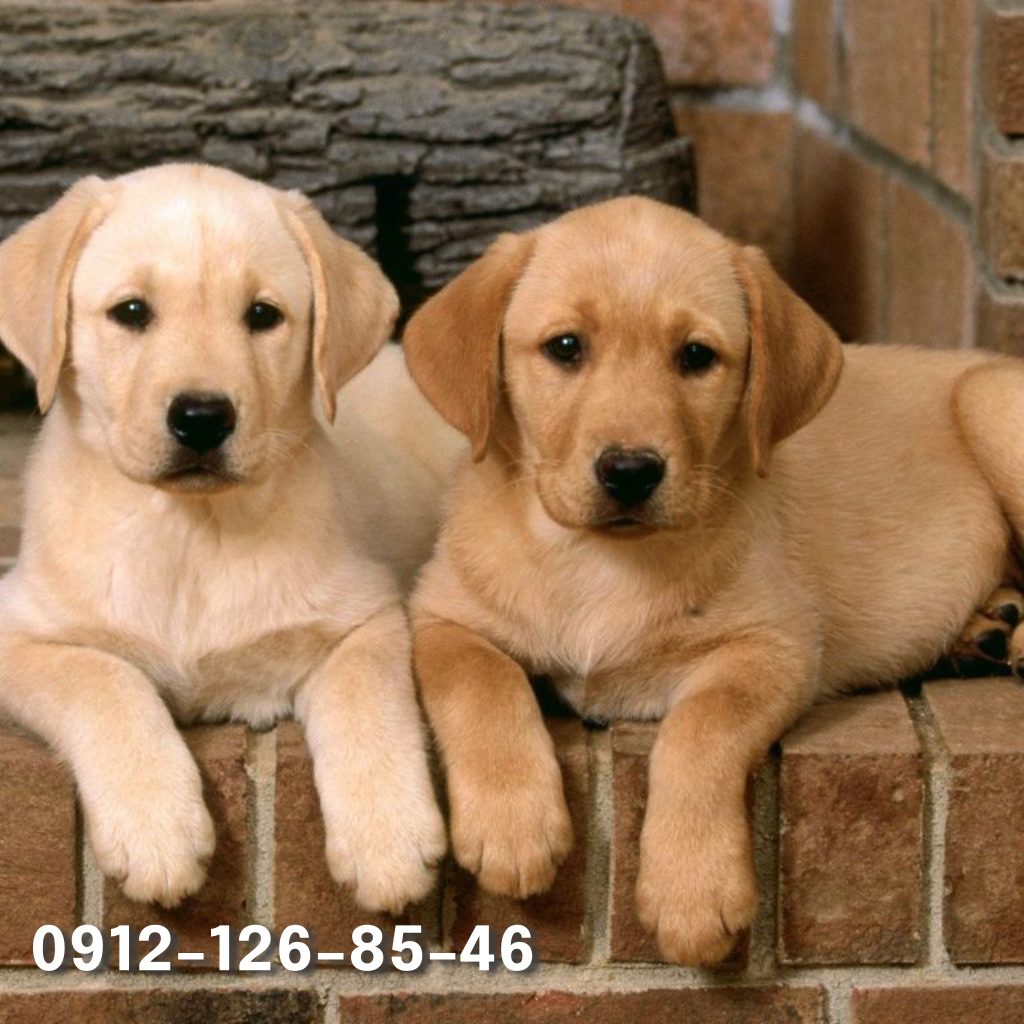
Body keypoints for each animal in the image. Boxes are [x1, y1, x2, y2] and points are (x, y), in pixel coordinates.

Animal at [0, 165, 458, 913]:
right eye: (131, 312)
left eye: (263, 316)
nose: (201, 418)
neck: (191, 534)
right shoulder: (20, 634)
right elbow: (103, 678)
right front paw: (155, 825)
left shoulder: (365, 616)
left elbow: (367, 701)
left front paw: (388, 837)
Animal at [401, 193, 1015, 966]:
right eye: (566, 347)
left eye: (696, 356)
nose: (629, 471)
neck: (599, 560)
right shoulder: (440, 613)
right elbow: (480, 680)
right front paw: (514, 823)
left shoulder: (776, 645)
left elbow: (702, 726)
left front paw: (692, 889)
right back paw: (992, 629)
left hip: (992, 403)